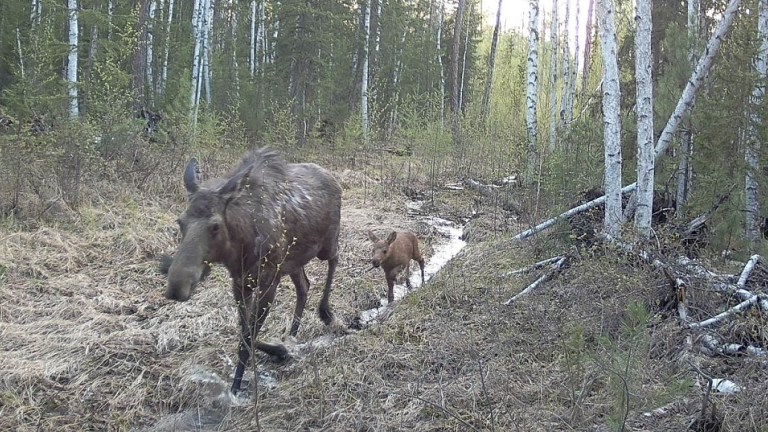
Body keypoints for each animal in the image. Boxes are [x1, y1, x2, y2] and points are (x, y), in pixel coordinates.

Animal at [164, 148, 342, 394]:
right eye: (180, 221)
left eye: (215, 226)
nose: (176, 286)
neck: (241, 246)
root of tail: (334, 178)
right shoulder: (241, 283)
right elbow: (244, 332)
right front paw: (280, 349)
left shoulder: (268, 281)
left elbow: (247, 338)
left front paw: (236, 388)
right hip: (293, 262)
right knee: (304, 286)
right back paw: (291, 335)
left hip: (326, 245)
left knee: (335, 258)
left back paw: (326, 313)